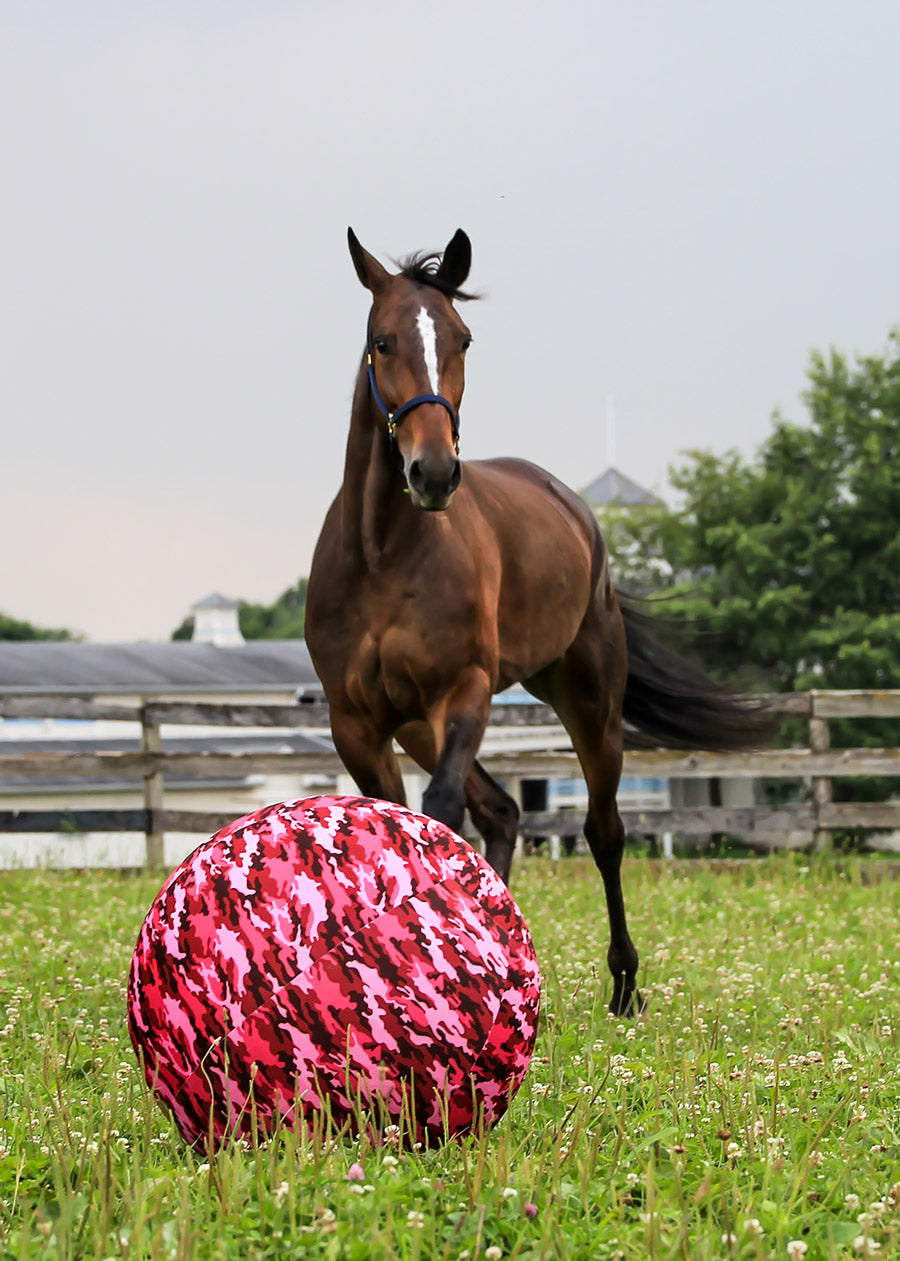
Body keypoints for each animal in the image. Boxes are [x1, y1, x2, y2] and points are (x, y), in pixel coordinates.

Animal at [305, 229, 766, 1013]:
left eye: (462, 338)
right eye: (382, 340)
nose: (434, 473)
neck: (382, 555)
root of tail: (575, 509)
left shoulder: (462, 692)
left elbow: (439, 814)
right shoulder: (357, 722)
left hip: (587, 700)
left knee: (603, 830)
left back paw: (623, 985)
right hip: (417, 725)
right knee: (503, 813)